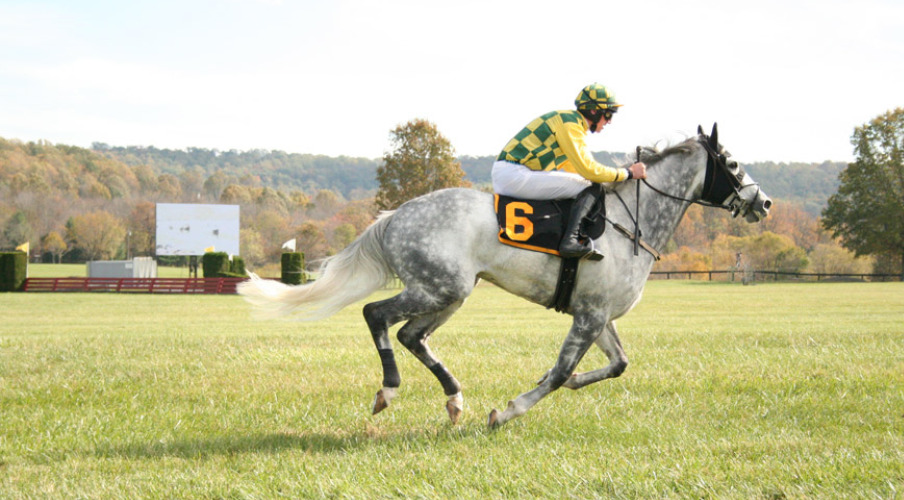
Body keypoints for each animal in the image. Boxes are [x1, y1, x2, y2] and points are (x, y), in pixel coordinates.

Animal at [238, 124, 768, 426]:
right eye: (732, 163)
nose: (762, 202)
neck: (629, 221)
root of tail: (395, 215)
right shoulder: (589, 317)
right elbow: (562, 372)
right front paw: (508, 410)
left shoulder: (597, 314)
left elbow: (616, 365)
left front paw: (555, 384)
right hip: (439, 287)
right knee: (376, 315)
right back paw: (389, 390)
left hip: (449, 293)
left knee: (411, 335)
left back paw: (454, 400)